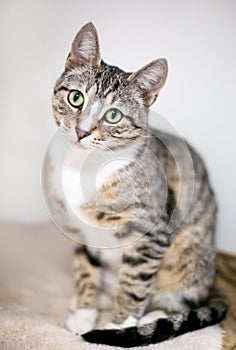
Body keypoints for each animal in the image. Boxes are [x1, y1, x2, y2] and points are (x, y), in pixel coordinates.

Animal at [50, 21, 229, 348]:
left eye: (113, 115)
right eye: (76, 98)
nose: (82, 132)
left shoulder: (152, 230)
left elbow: (133, 283)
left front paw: (118, 326)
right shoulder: (79, 229)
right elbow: (85, 268)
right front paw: (84, 310)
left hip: (189, 254)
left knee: (181, 299)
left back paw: (150, 317)